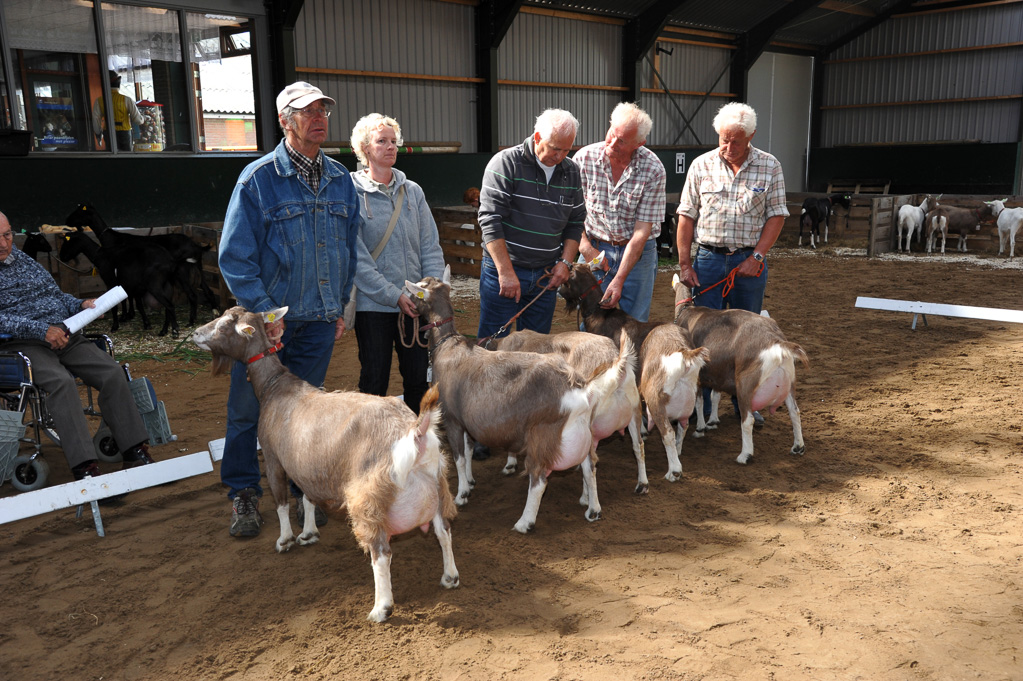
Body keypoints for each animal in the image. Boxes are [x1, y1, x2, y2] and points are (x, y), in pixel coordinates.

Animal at [191, 306, 460, 621]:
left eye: (223, 327)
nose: (195, 333)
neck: (275, 386)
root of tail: (414, 432)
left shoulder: (273, 458)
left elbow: (281, 500)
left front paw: (285, 540)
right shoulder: (307, 463)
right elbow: (307, 496)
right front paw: (308, 532)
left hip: (368, 498)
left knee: (381, 552)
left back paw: (381, 608)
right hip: (437, 487)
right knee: (444, 531)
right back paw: (450, 577)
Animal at [671, 274, 806, 464]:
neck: (686, 311)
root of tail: (777, 342)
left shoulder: (696, 376)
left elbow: (699, 401)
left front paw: (699, 428)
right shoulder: (718, 372)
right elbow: (715, 396)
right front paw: (712, 421)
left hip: (745, 385)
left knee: (747, 420)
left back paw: (745, 455)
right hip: (789, 381)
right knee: (795, 412)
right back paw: (798, 446)